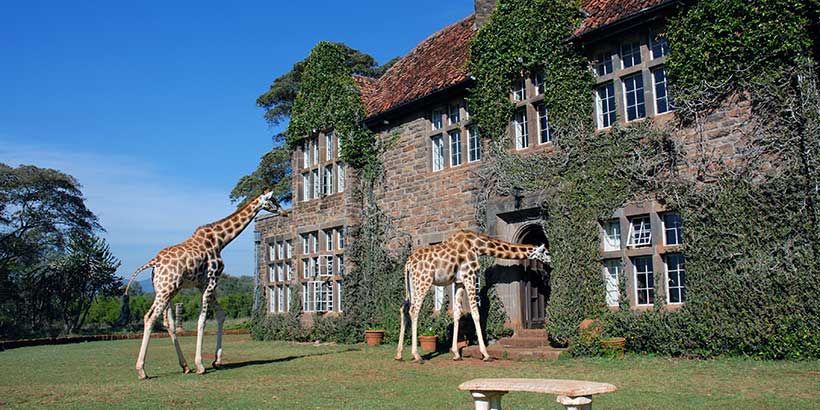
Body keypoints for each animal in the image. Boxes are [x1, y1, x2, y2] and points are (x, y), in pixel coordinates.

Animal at [119, 191, 283, 380]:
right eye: (273, 200)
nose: (284, 212)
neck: (220, 240)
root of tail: (154, 262)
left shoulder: (202, 284)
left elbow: (220, 314)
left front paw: (216, 361)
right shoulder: (212, 280)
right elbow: (202, 320)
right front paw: (200, 365)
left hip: (166, 291)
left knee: (168, 323)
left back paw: (184, 366)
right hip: (166, 290)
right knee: (150, 317)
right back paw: (142, 370)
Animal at [394, 229, 551, 363]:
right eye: (547, 252)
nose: (550, 264)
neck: (478, 246)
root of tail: (408, 264)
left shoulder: (459, 282)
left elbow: (457, 312)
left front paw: (456, 354)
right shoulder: (470, 276)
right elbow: (476, 313)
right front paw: (486, 354)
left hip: (412, 284)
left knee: (404, 308)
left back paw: (399, 354)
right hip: (424, 281)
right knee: (414, 310)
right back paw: (417, 356)